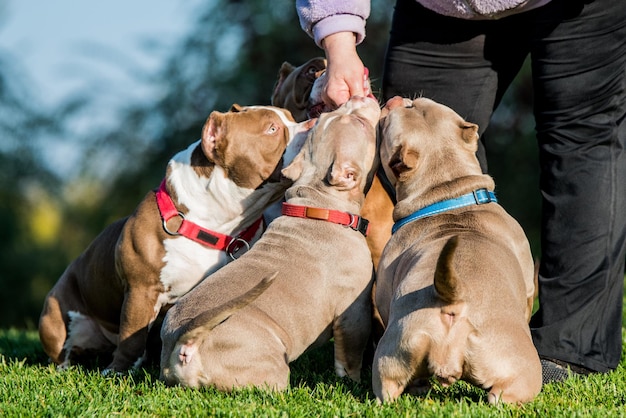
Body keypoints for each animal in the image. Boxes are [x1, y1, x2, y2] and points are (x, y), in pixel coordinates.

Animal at [39, 103, 312, 374]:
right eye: (272, 128)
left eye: (291, 117)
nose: (312, 123)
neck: (218, 226)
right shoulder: (141, 290)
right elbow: (131, 338)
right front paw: (118, 371)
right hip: (54, 317)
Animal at [158, 95, 378, 392]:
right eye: (359, 123)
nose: (358, 96)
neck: (319, 204)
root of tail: (186, 339)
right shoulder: (354, 312)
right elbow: (350, 358)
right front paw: (353, 383)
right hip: (270, 365)